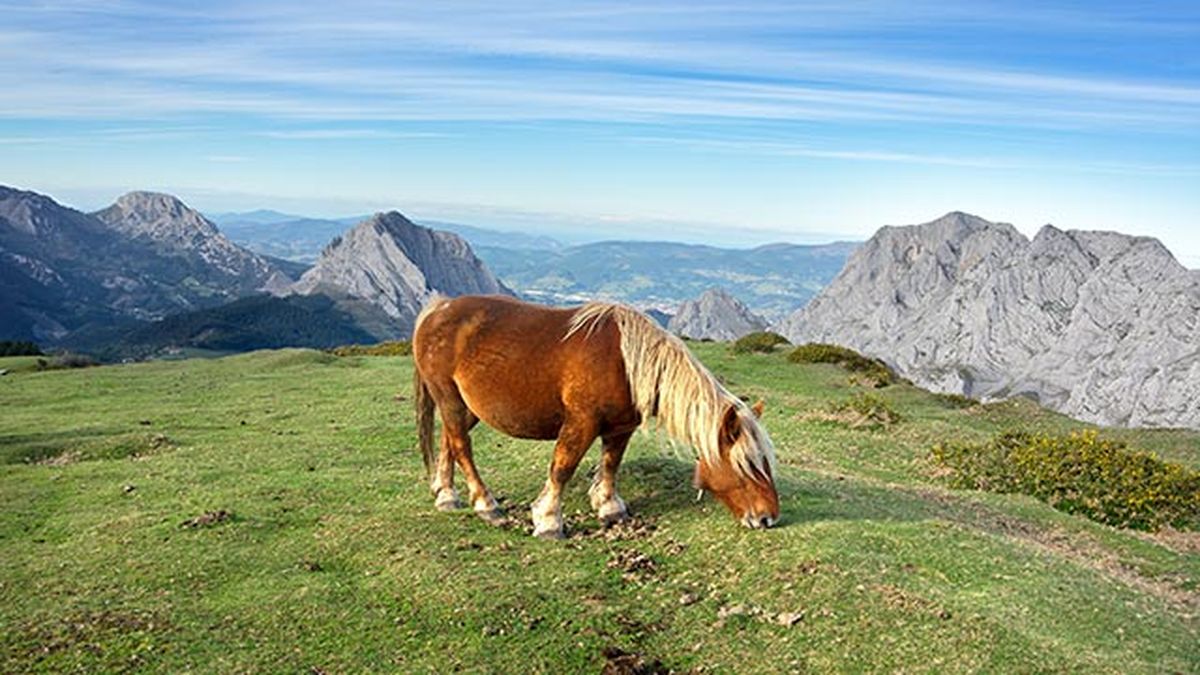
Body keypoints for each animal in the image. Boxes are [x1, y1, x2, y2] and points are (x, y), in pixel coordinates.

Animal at [412, 294, 779, 539]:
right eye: (746, 465)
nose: (769, 519)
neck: (626, 363)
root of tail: (437, 308)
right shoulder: (581, 423)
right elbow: (562, 468)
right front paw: (549, 520)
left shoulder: (620, 428)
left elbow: (610, 465)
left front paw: (608, 506)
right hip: (450, 398)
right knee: (461, 446)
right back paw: (484, 503)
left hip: (467, 406)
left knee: (449, 441)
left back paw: (445, 493)